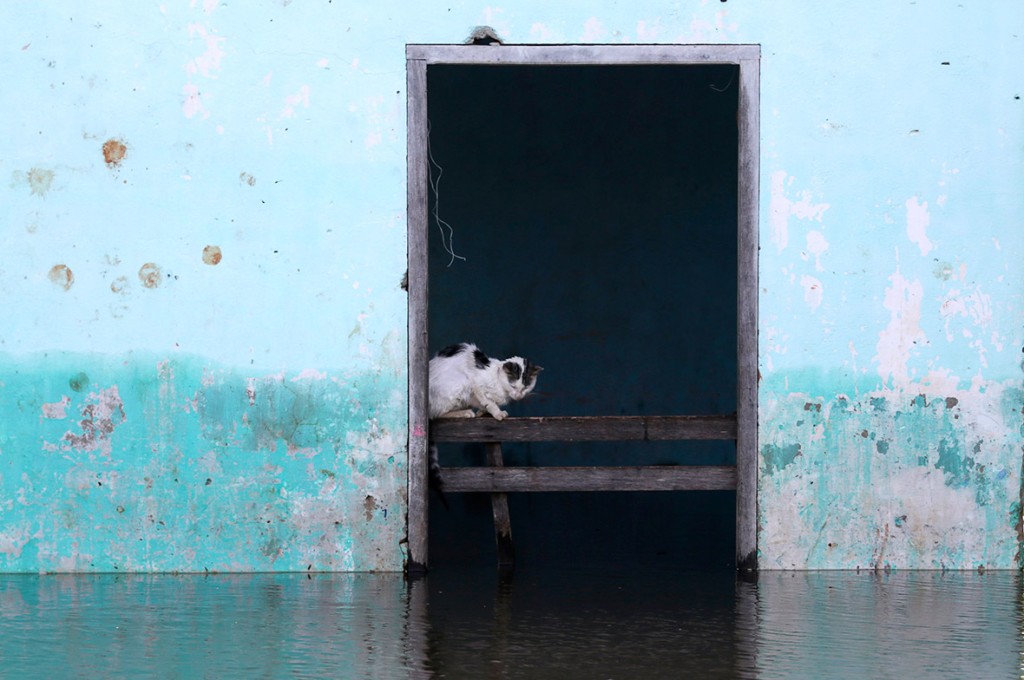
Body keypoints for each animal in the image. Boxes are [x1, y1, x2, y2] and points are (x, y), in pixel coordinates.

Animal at [425, 346, 540, 499]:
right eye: (513, 386)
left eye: (526, 387)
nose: (519, 396)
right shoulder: (475, 384)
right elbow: (488, 401)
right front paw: (497, 413)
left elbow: (483, 403)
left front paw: (482, 411)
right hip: (460, 382)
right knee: (438, 413)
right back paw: (464, 412)